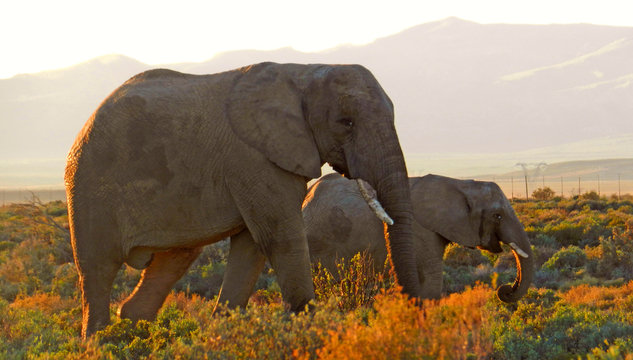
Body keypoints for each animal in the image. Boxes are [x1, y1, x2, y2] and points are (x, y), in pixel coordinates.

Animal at [65, 61, 420, 338]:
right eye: (346, 123)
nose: (415, 313)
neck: (303, 74)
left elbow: (251, 247)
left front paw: (224, 333)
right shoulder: (254, 159)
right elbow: (281, 239)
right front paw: (310, 330)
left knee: (175, 259)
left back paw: (134, 333)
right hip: (89, 186)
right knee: (97, 270)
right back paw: (101, 343)